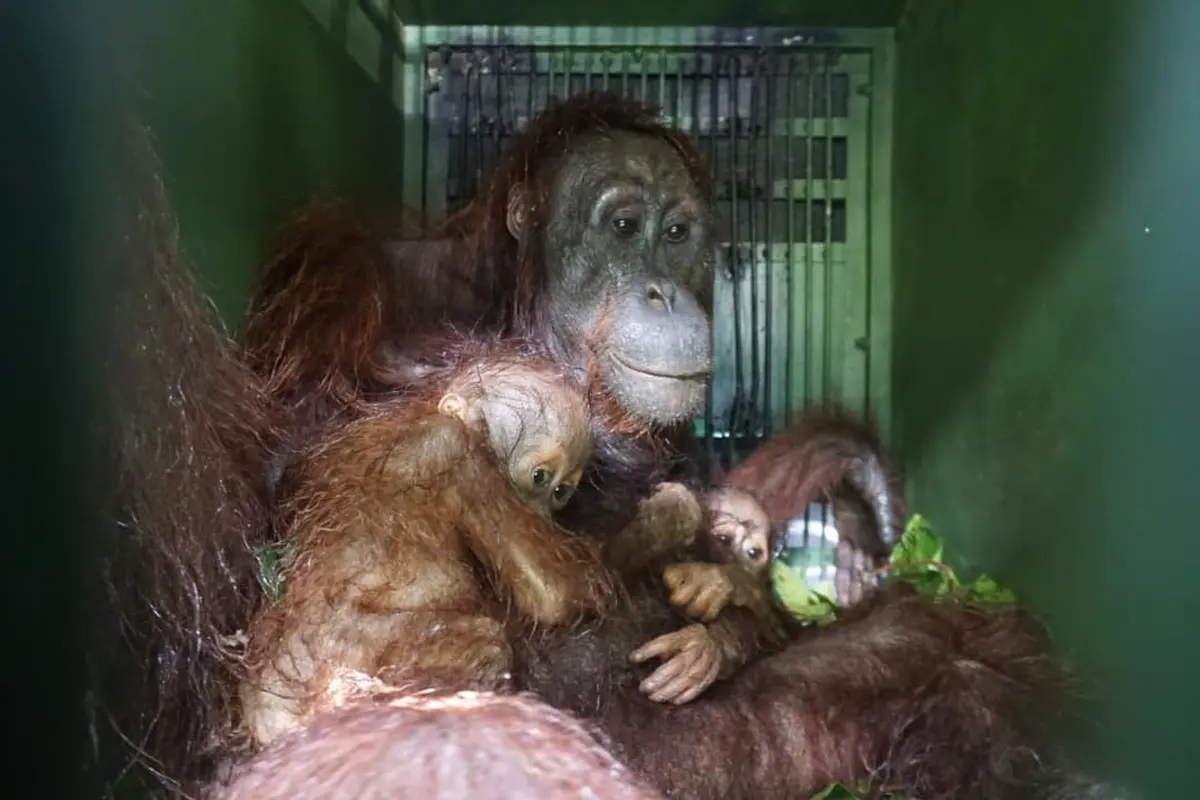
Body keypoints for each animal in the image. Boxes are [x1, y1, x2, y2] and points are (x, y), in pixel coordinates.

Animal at [238, 341, 613, 748]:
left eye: (560, 493)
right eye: (540, 478)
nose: (542, 514)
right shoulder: (457, 451)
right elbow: (551, 593)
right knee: (487, 643)